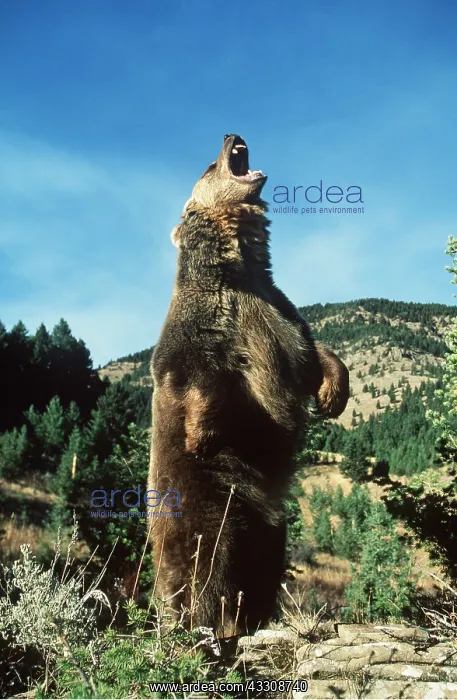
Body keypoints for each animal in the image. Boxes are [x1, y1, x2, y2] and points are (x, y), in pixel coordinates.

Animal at [149, 134, 349, 638]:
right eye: (208, 164)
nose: (229, 136)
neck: (237, 271)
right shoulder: (202, 330)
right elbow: (196, 378)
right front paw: (201, 435)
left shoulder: (275, 308)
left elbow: (310, 352)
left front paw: (333, 392)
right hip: (204, 501)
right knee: (208, 558)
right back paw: (209, 624)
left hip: (266, 524)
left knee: (262, 562)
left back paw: (252, 617)